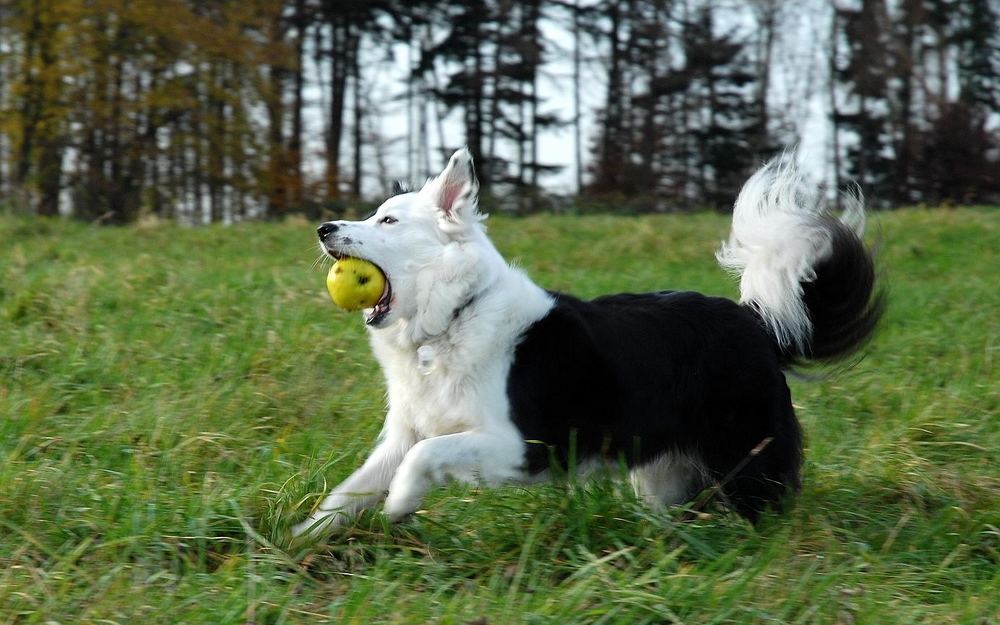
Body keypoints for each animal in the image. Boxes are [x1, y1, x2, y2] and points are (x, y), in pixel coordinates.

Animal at [292, 146, 888, 536]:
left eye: (388, 220)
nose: (324, 228)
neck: (453, 315)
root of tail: (755, 321)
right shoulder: (405, 433)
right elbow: (349, 491)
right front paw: (297, 543)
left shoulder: (525, 443)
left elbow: (425, 456)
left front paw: (400, 503)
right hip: (664, 471)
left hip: (745, 456)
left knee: (764, 507)